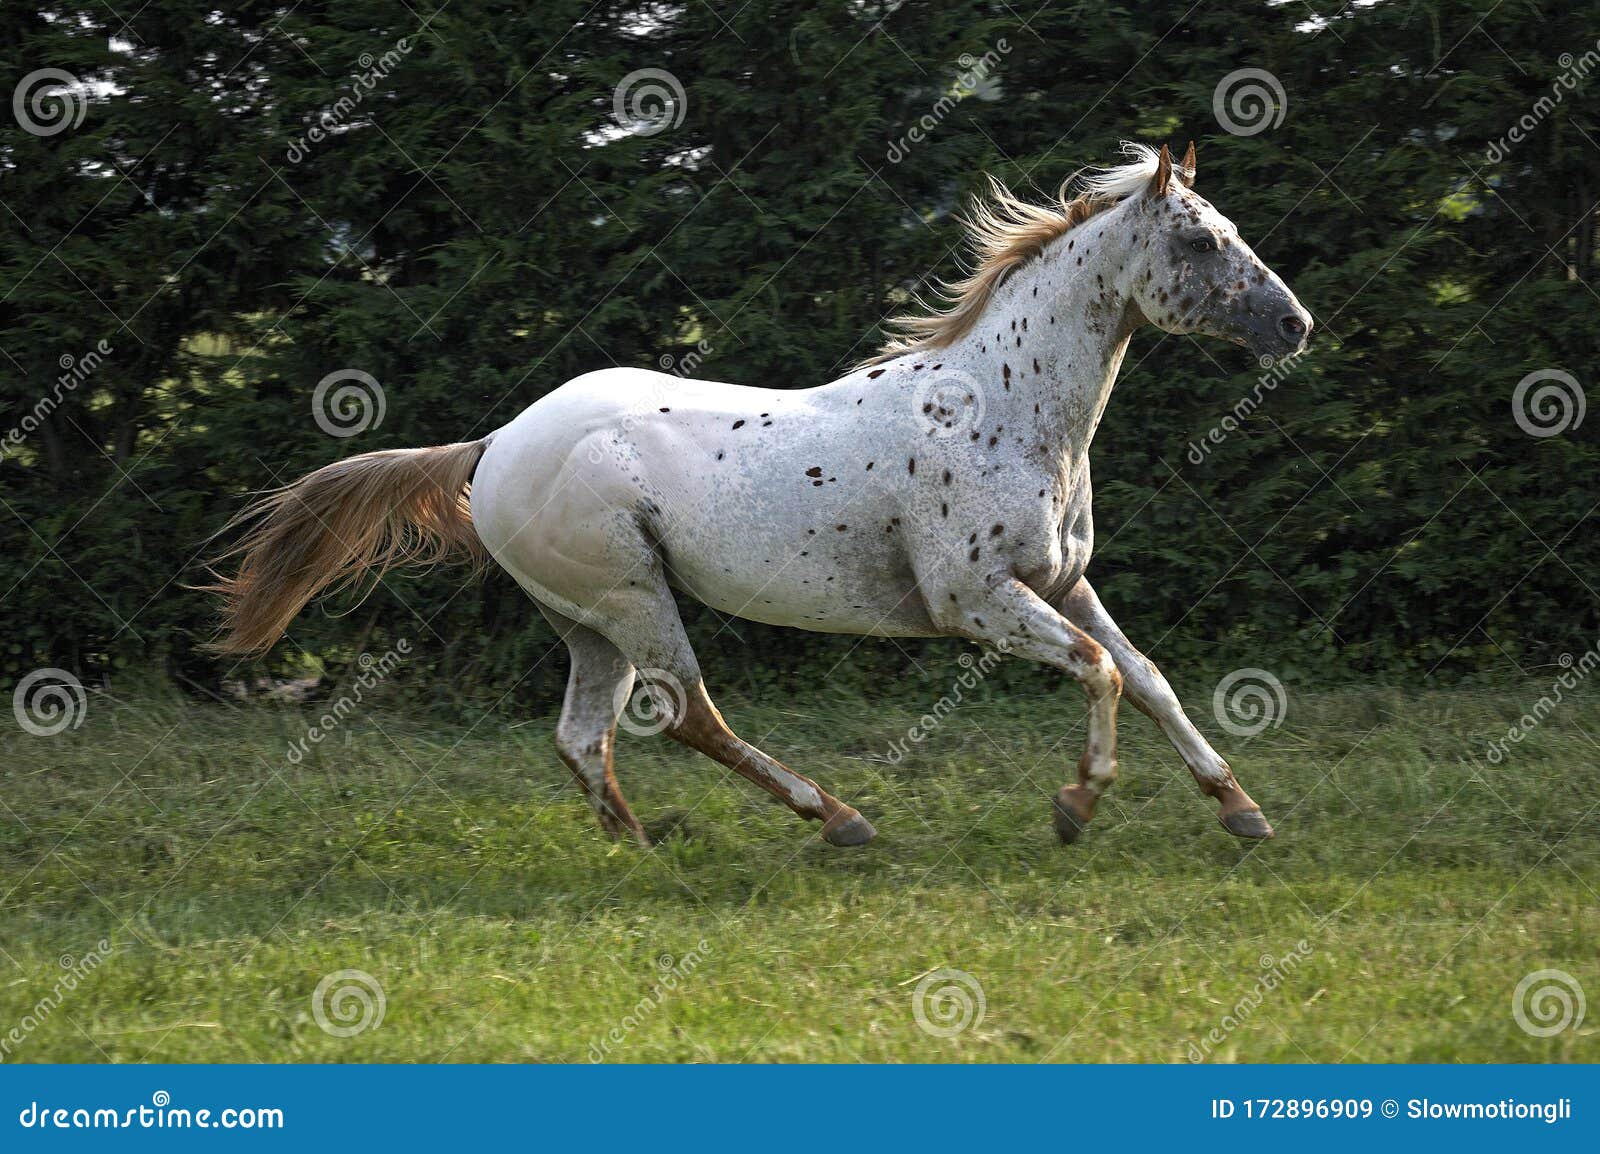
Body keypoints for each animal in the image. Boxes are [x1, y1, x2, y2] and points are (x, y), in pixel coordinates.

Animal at [209, 141, 1312, 845]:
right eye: (1200, 242)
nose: (1294, 325)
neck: (1001, 408)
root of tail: (493, 445)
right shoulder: (977, 601)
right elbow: (1101, 670)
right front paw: (1076, 808)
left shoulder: (1061, 581)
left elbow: (1148, 673)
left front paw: (1242, 810)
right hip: (631, 598)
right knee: (687, 715)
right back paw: (838, 820)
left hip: (586, 624)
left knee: (582, 736)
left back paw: (640, 849)